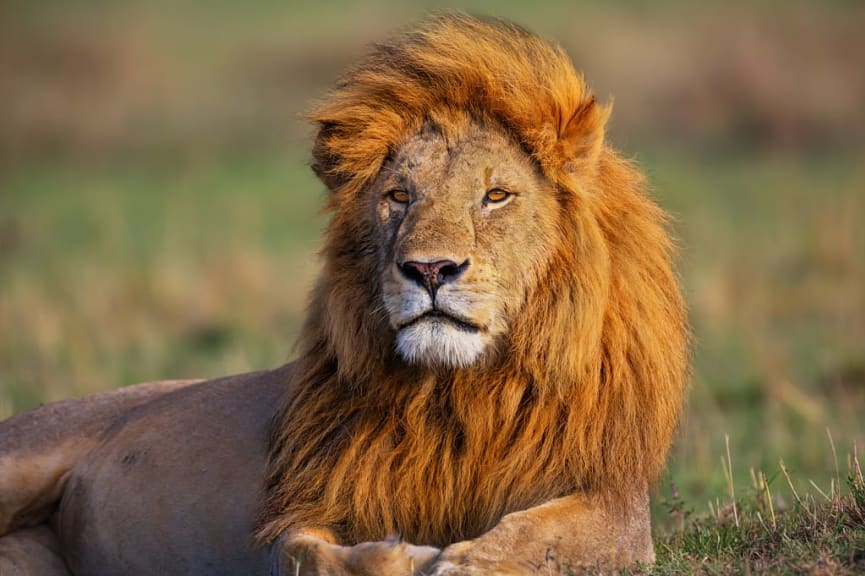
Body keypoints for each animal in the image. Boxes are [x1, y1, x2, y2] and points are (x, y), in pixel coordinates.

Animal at [0, 13, 688, 576]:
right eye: (399, 196)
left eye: (496, 196)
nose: (429, 269)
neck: (457, 394)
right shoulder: (306, 502)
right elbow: (308, 553)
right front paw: (405, 557)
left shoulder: (612, 500)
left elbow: (539, 538)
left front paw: (463, 562)